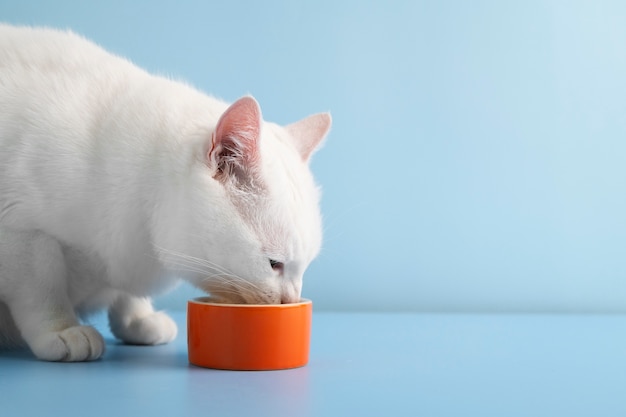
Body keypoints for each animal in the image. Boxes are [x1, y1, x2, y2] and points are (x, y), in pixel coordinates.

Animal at [0, 24, 330, 360]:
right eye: (274, 264)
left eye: (305, 265)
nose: (291, 300)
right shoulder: (22, 233)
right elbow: (42, 289)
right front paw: (62, 329)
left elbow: (125, 295)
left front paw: (137, 320)